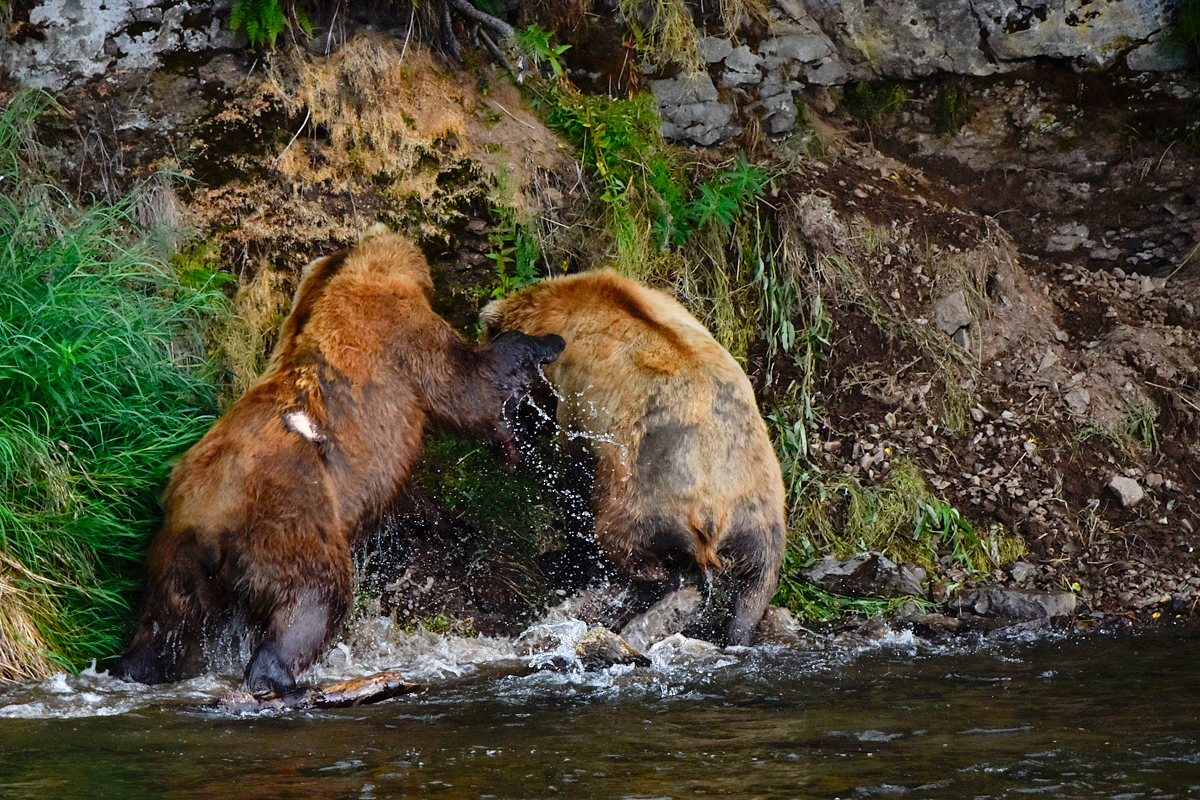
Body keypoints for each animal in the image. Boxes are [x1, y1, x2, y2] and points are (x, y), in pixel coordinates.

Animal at [115, 225, 561, 695]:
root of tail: (211, 517)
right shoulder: (402, 335)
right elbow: (469, 384)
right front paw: (541, 351)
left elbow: (409, 499)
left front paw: (453, 524)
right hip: (288, 522)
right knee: (315, 598)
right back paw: (280, 677)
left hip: (174, 558)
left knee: (164, 628)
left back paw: (137, 667)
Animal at [482, 272, 792, 647]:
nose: (504, 442)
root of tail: (713, 514)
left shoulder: (582, 405)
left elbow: (576, 480)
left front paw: (563, 554)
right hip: (761, 511)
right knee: (754, 590)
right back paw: (736, 630)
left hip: (647, 501)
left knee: (627, 544)